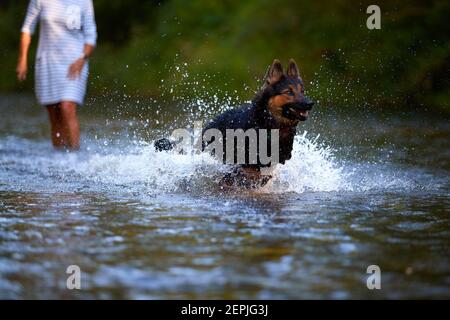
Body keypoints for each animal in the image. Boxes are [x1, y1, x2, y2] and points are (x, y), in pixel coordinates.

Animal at [156, 58, 314, 188]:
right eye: (289, 92)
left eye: (302, 91)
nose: (310, 103)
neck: (266, 124)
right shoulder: (241, 164)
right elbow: (247, 174)